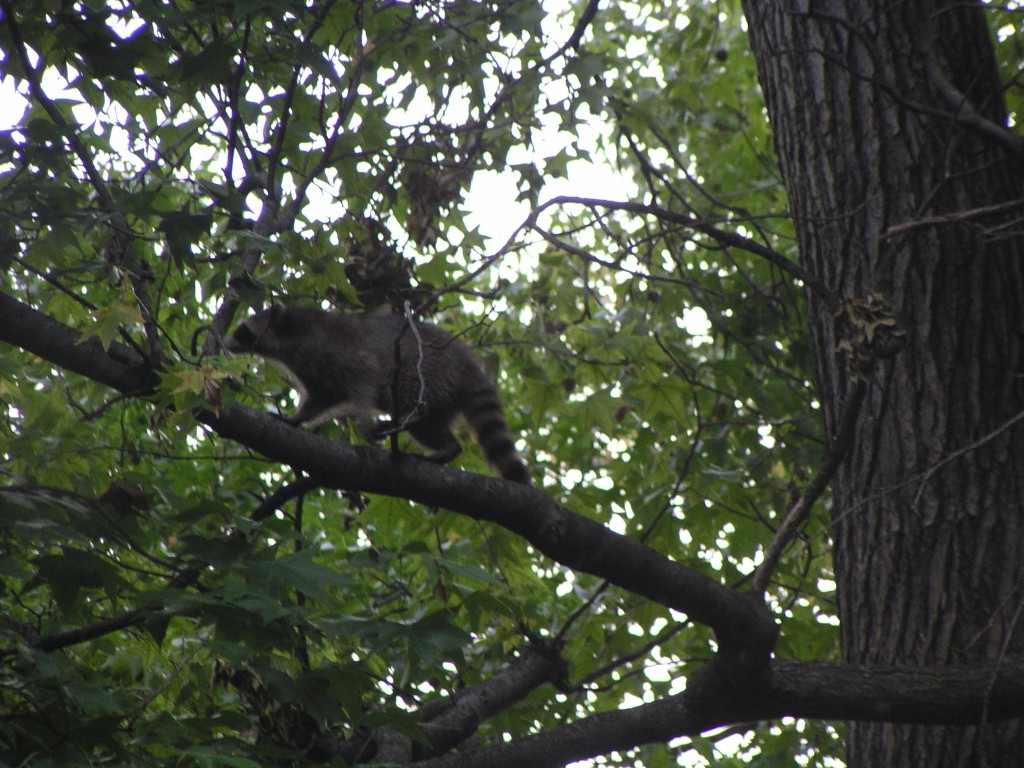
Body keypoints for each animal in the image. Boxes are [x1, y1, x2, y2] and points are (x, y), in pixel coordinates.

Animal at [224, 304, 530, 484]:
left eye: (242, 330)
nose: (225, 344)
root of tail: (469, 365)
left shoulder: (340, 354)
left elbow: (364, 385)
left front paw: (363, 421)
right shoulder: (317, 374)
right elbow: (322, 400)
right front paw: (296, 418)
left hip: (428, 370)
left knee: (414, 403)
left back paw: (414, 425)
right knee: (432, 428)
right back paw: (446, 448)